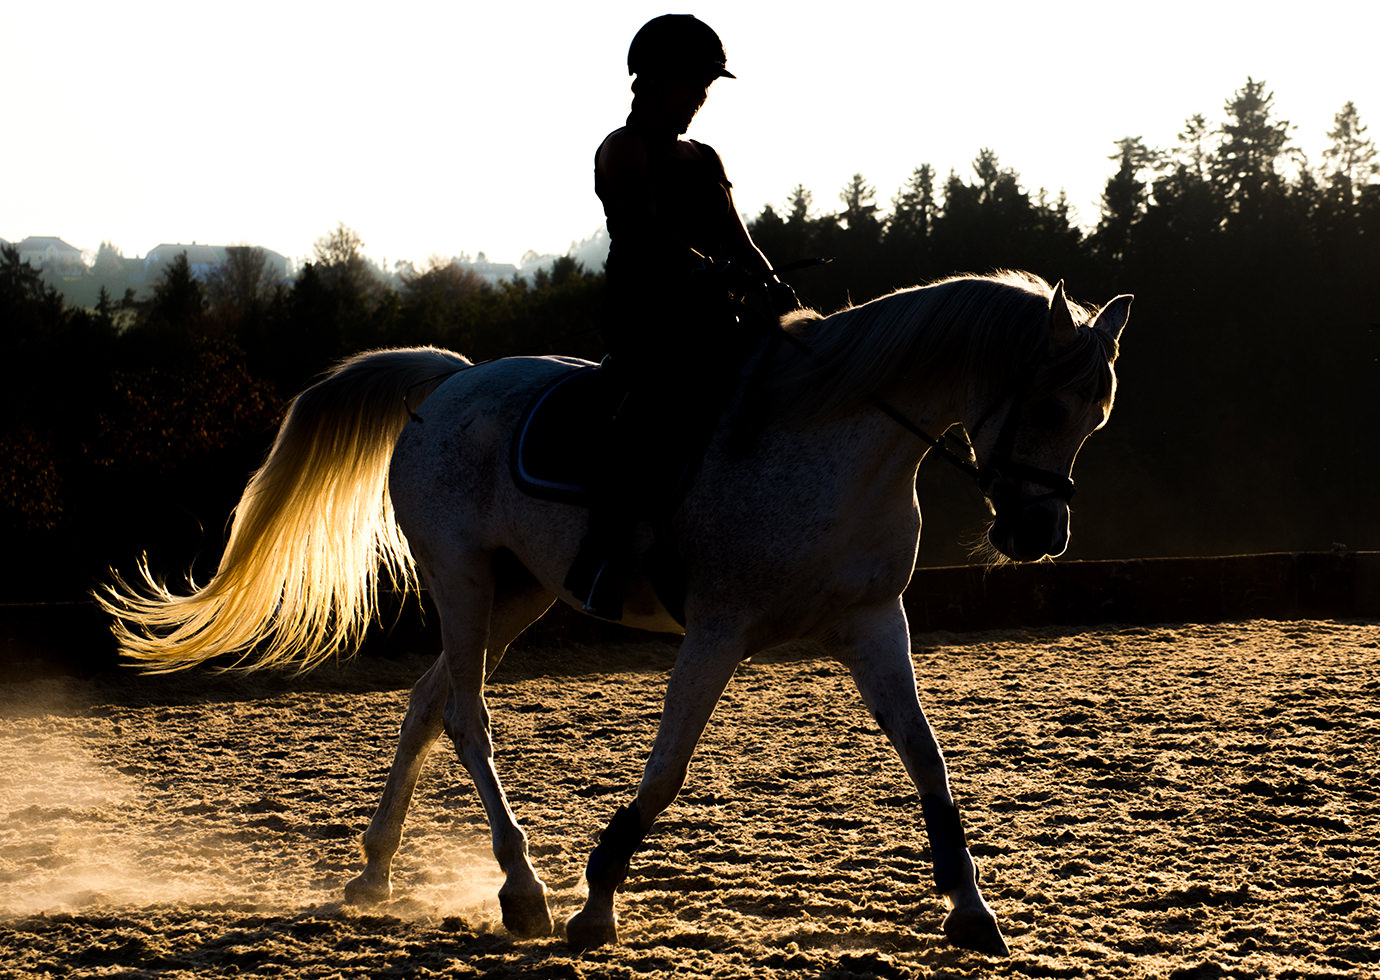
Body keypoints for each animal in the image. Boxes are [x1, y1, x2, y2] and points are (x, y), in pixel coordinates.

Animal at [97, 269, 1131, 960]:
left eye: (1097, 414)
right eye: (1045, 405)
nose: (1040, 534)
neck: (835, 445)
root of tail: (451, 378)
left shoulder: (875, 624)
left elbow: (927, 760)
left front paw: (972, 908)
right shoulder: (718, 632)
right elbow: (668, 768)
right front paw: (598, 901)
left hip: (517, 591)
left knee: (428, 700)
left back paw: (377, 870)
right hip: (462, 578)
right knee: (465, 712)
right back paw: (523, 889)